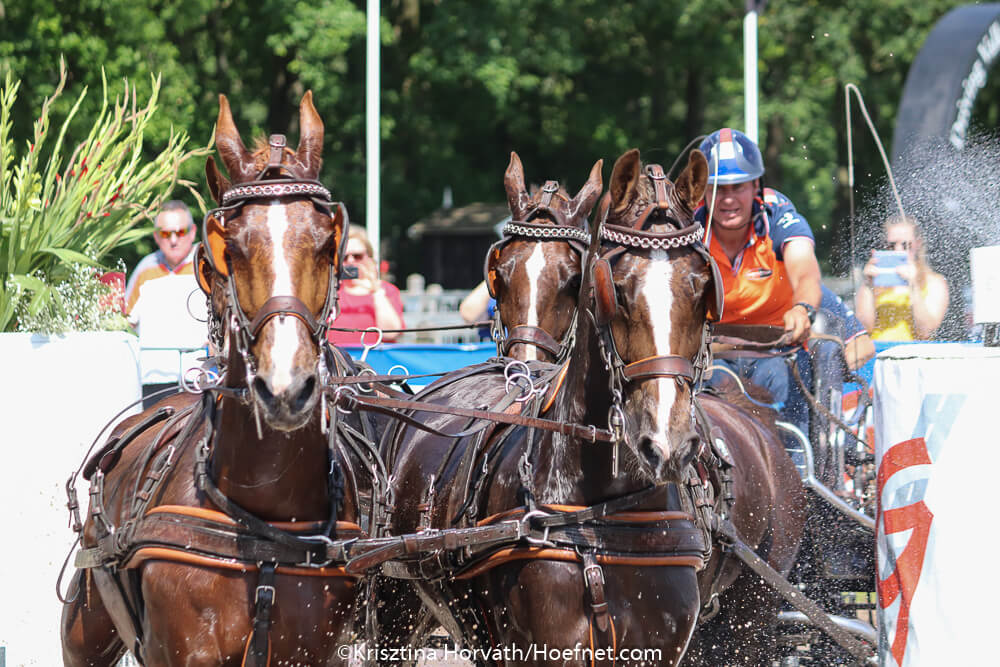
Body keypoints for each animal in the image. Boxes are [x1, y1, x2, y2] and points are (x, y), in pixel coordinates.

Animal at [59, 92, 364, 667]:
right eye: (232, 247)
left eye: (325, 243)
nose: (285, 387)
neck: (264, 523)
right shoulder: (182, 651)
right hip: (85, 626)